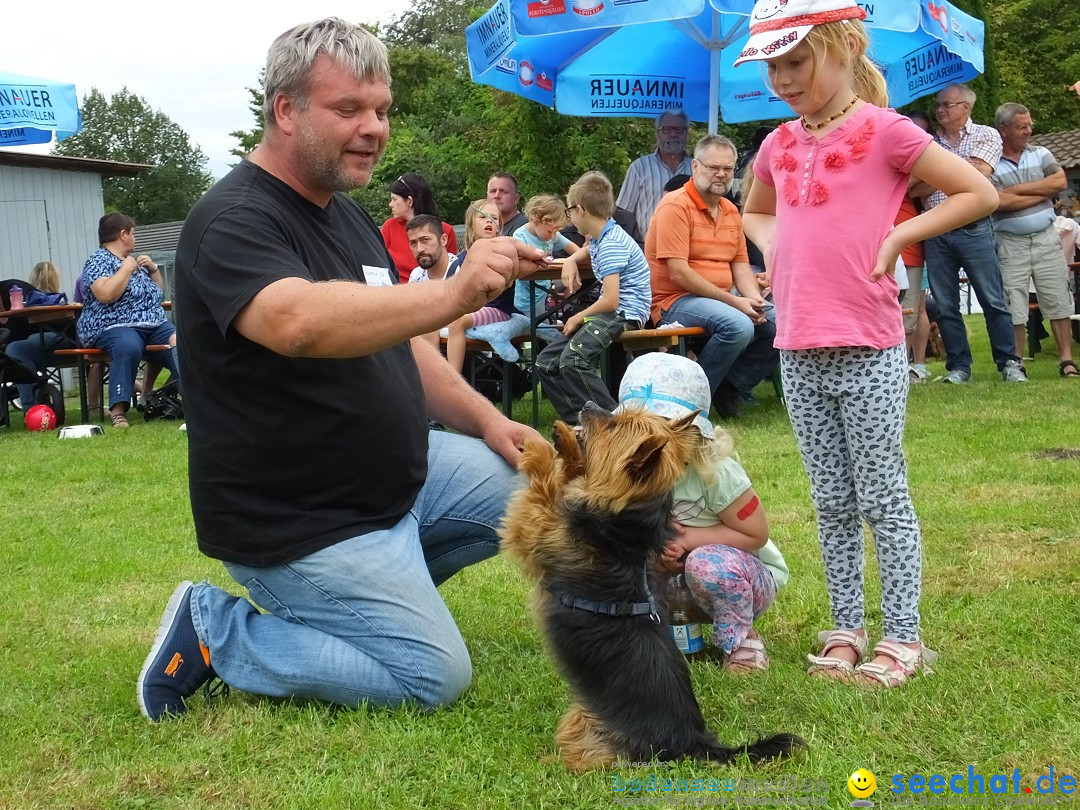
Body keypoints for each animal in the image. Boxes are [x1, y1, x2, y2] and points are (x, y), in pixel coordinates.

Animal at [498, 406, 803, 773]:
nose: (586, 406)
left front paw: (544, 447)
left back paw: (550, 761)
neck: (623, 528)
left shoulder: (537, 529)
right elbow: (568, 478)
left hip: (583, 722)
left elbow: (543, 491)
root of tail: (694, 740)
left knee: (589, 757)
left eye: (613, 426)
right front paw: (563, 447)